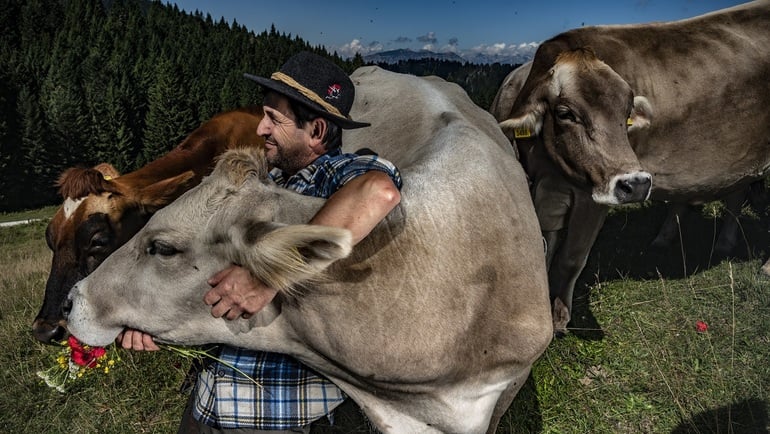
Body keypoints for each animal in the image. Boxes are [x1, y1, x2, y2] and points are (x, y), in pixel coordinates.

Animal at [498, 0, 768, 332]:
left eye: (627, 113)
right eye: (565, 113)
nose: (637, 183)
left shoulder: (591, 197)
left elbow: (571, 258)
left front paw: (559, 316)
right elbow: (544, 248)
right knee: (736, 193)